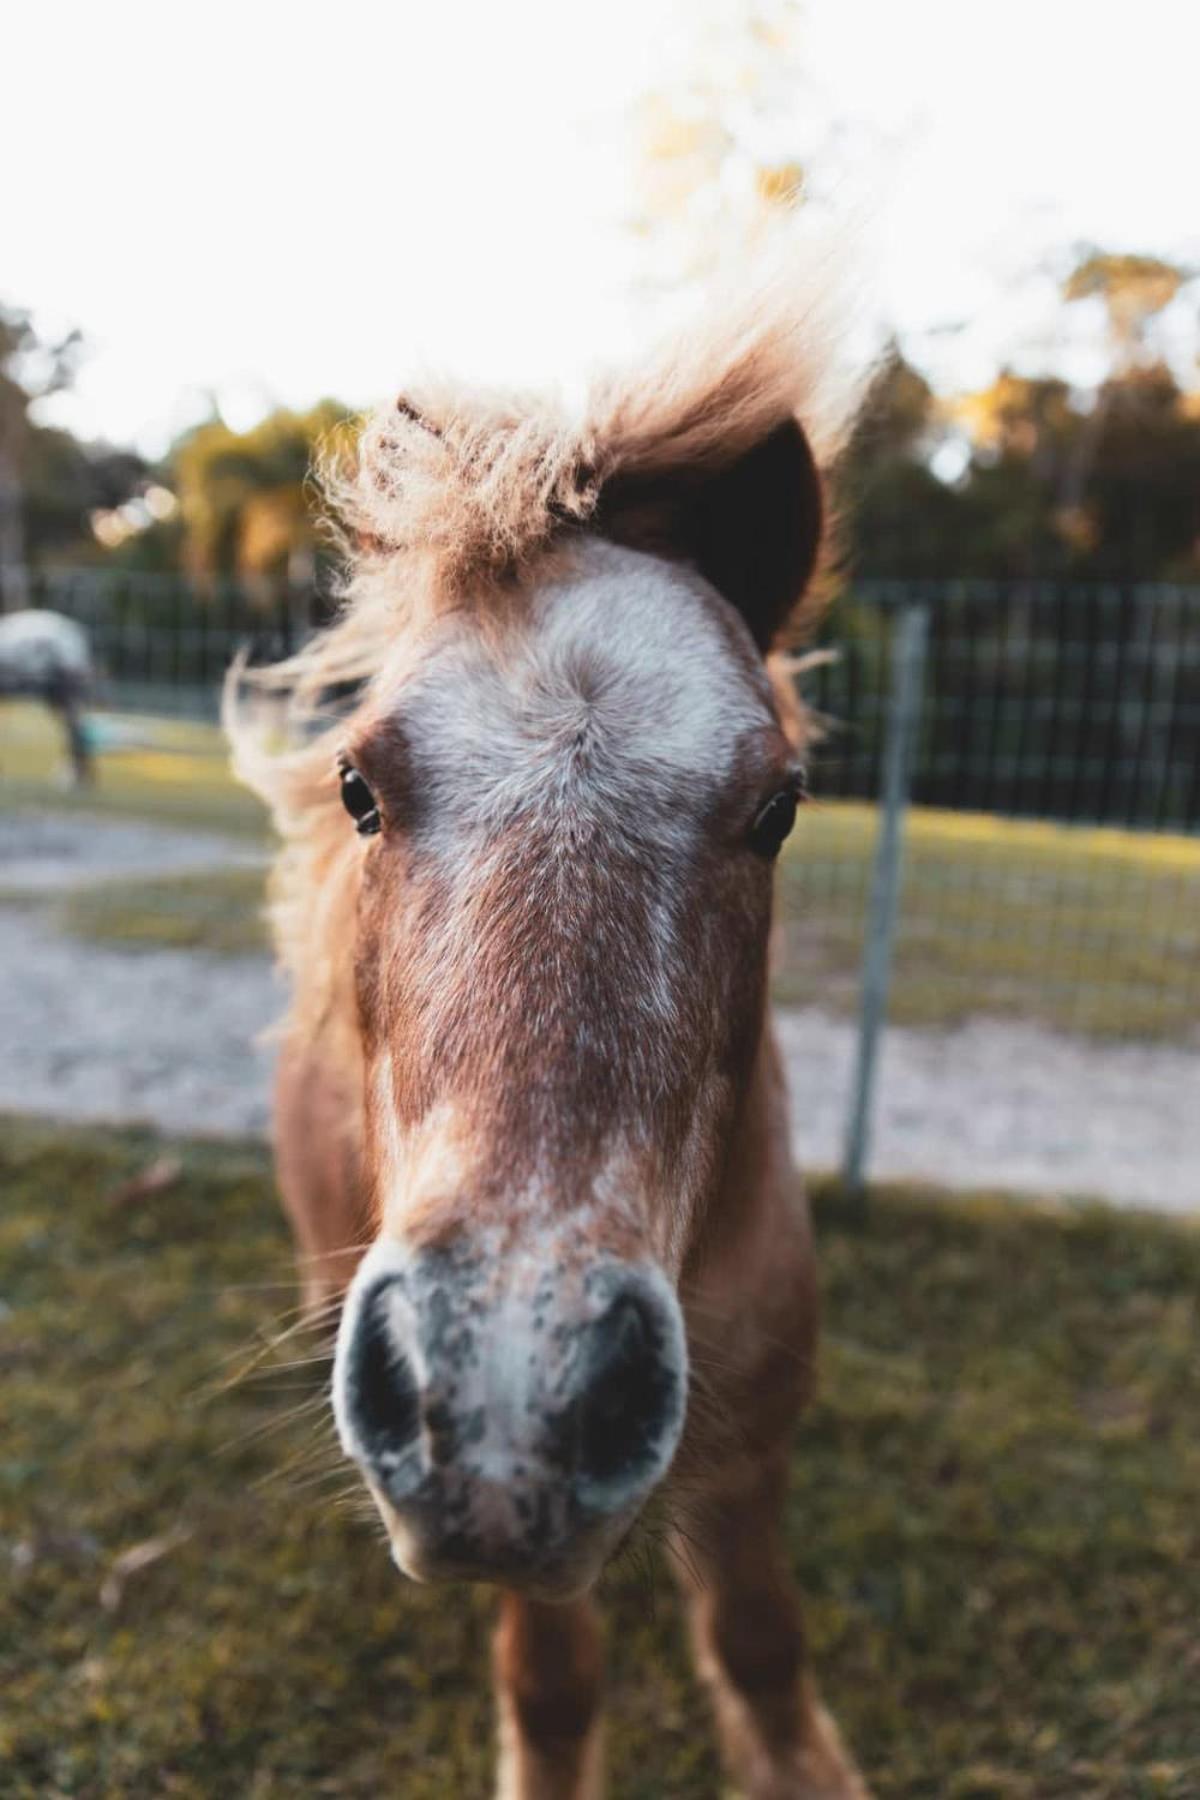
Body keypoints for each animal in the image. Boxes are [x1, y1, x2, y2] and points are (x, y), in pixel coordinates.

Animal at [230, 270, 874, 1800]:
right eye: (359, 784)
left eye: (779, 807)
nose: (514, 1397)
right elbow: (556, 1683)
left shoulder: (753, 1458)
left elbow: (761, 1644)